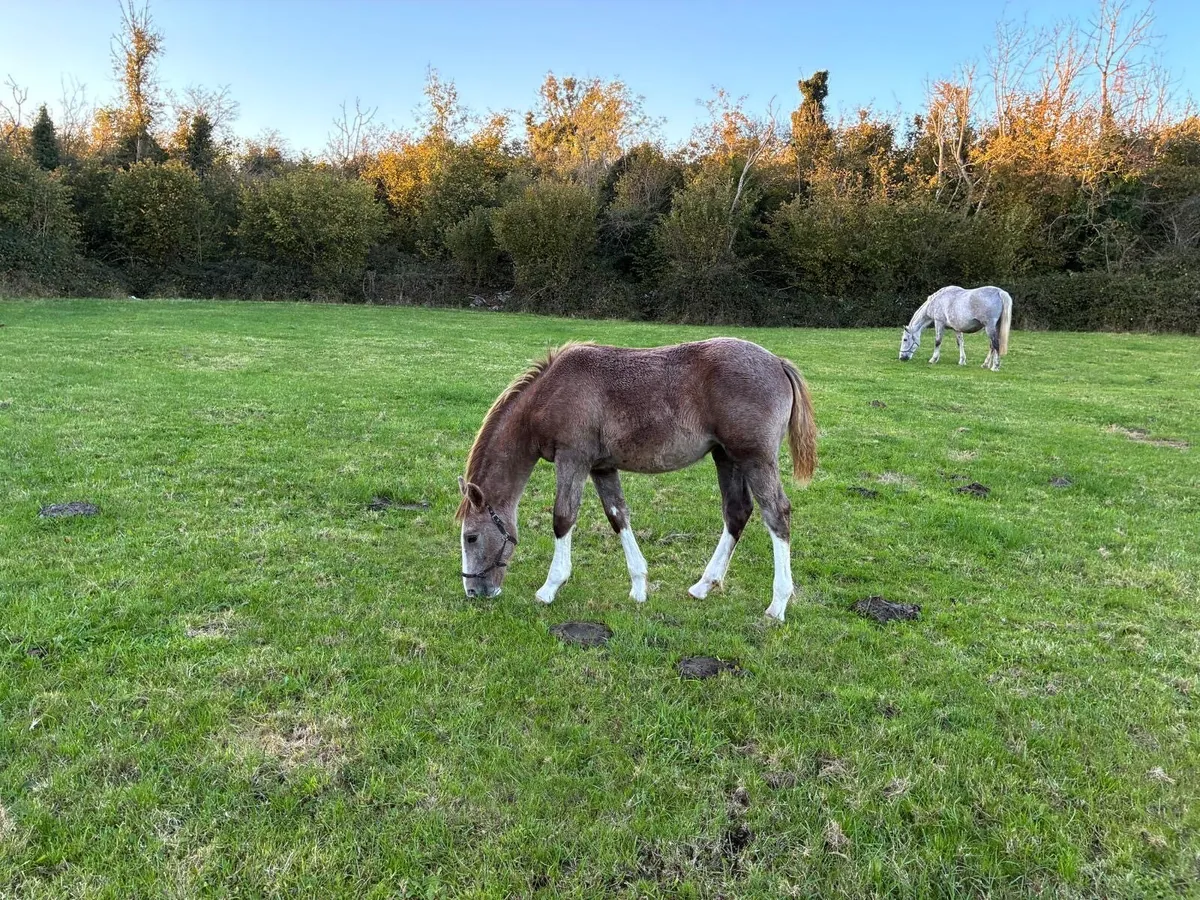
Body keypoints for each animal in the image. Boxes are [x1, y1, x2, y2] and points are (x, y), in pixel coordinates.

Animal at [456, 338, 817, 621]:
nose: (473, 591)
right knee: (737, 512)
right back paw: (703, 586)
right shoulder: (601, 466)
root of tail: (778, 363)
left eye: (471, 537)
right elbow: (618, 516)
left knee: (777, 514)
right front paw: (639, 586)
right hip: (726, 456)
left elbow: (563, 518)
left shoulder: (573, 458)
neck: (552, 390)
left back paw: (778, 604)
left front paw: (550, 587)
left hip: (755, 459)